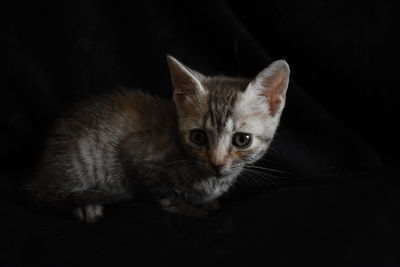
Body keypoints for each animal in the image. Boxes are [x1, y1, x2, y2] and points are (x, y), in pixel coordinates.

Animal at [28, 55, 290, 223]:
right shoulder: (138, 155)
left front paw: (208, 203)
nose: (216, 164)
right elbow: (164, 194)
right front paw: (192, 210)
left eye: (242, 140)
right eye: (198, 137)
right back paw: (86, 207)